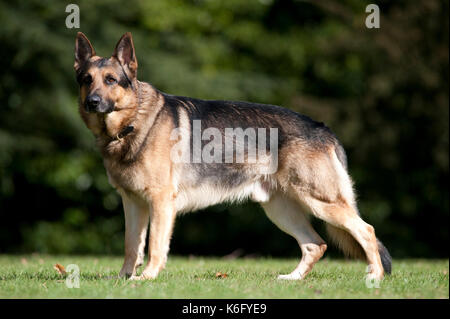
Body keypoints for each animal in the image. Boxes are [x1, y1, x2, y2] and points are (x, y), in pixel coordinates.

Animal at [74, 32, 390, 282]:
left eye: (111, 80)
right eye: (87, 80)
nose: (92, 102)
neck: (131, 125)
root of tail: (323, 128)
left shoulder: (160, 202)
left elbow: (154, 246)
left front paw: (146, 278)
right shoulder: (132, 203)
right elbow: (131, 246)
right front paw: (123, 279)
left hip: (320, 202)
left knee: (367, 230)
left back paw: (375, 277)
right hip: (280, 210)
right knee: (315, 244)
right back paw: (292, 279)